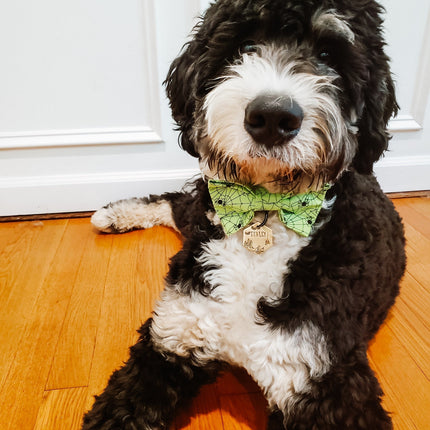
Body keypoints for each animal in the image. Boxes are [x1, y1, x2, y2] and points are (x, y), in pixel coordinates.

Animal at [83, 1, 406, 428]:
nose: (272, 117)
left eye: (327, 55)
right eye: (246, 45)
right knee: (176, 200)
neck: (264, 210)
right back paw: (114, 214)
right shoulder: (171, 337)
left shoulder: (321, 378)